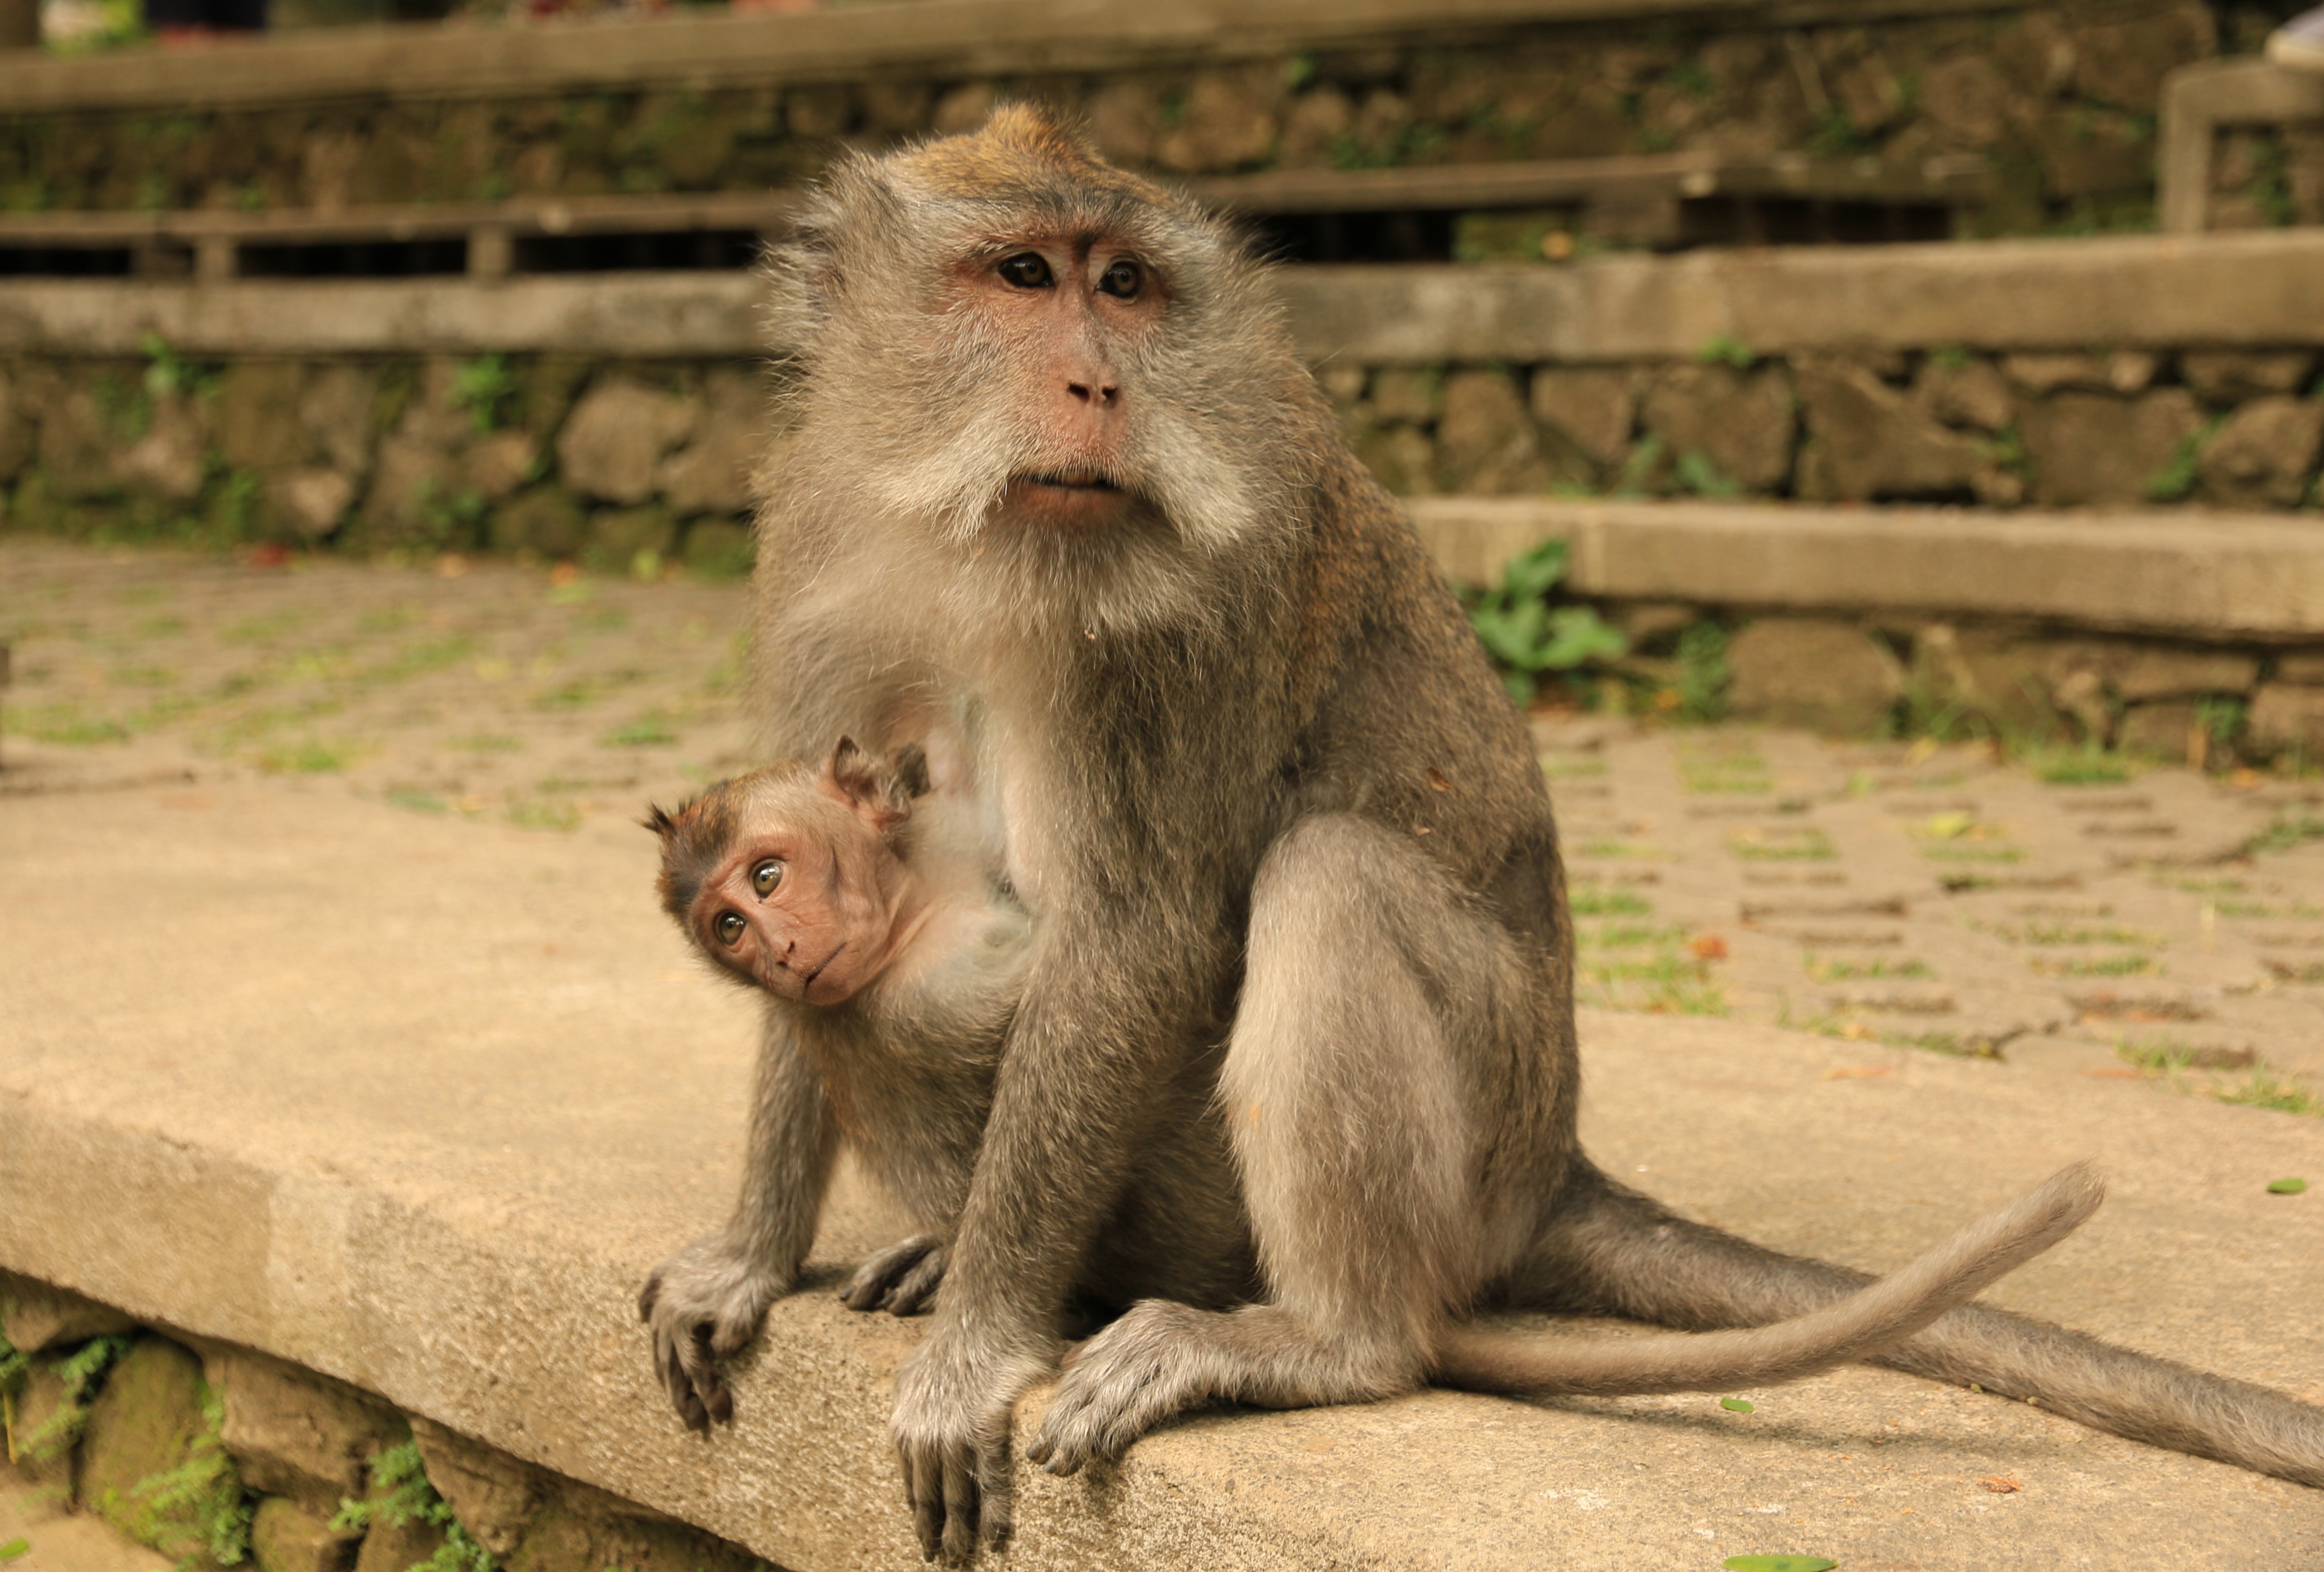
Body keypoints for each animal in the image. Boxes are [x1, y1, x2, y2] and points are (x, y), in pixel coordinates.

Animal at [637, 105, 2324, 1562]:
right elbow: (830, 881)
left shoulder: (1172, 620)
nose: (1103, 389)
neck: (972, 536)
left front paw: (979, 1345)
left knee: (1328, 880)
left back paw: (1320, 1341)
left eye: (1121, 284)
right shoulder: (819, 547)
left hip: (1441, 1121)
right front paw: (750, 1250)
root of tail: (1553, 1164)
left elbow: (1133, 938)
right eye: (1018, 277)